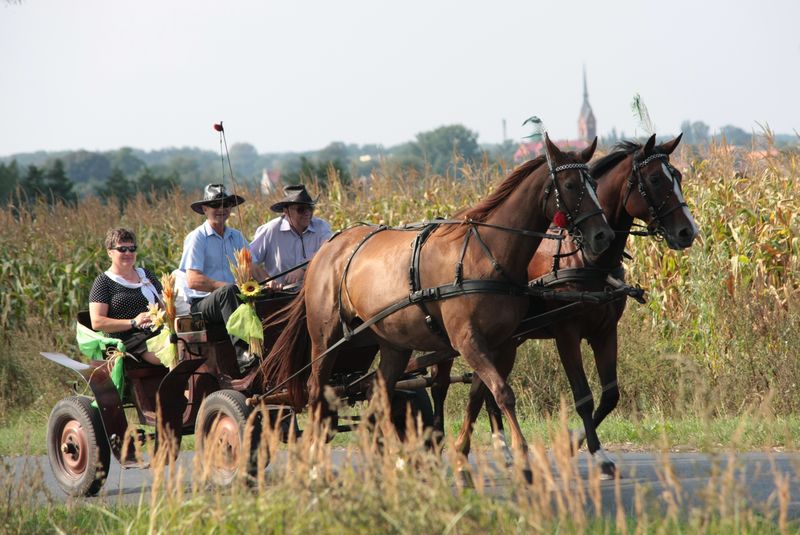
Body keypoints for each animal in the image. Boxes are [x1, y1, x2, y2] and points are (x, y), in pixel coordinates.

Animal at [262, 135, 612, 478]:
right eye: (570, 185)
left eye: (595, 182)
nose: (603, 236)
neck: (485, 254)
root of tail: (328, 247)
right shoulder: (467, 340)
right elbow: (502, 393)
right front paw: (522, 458)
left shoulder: (501, 344)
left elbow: (480, 394)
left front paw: (464, 455)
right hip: (326, 338)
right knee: (317, 390)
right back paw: (314, 462)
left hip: (394, 343)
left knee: (379, 395)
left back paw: (393, 458)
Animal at [428, 133, 696, 478]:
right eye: (654, 179)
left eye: (677, 176)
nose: (688, 231)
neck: (587, 258)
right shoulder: (567, 334)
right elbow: (583, 396)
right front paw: (596, 453)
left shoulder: (605, 331)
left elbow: (610, 395)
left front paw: (575, 442)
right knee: (440, 386)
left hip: (505, 339)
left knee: (481, 386)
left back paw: (502, 448)